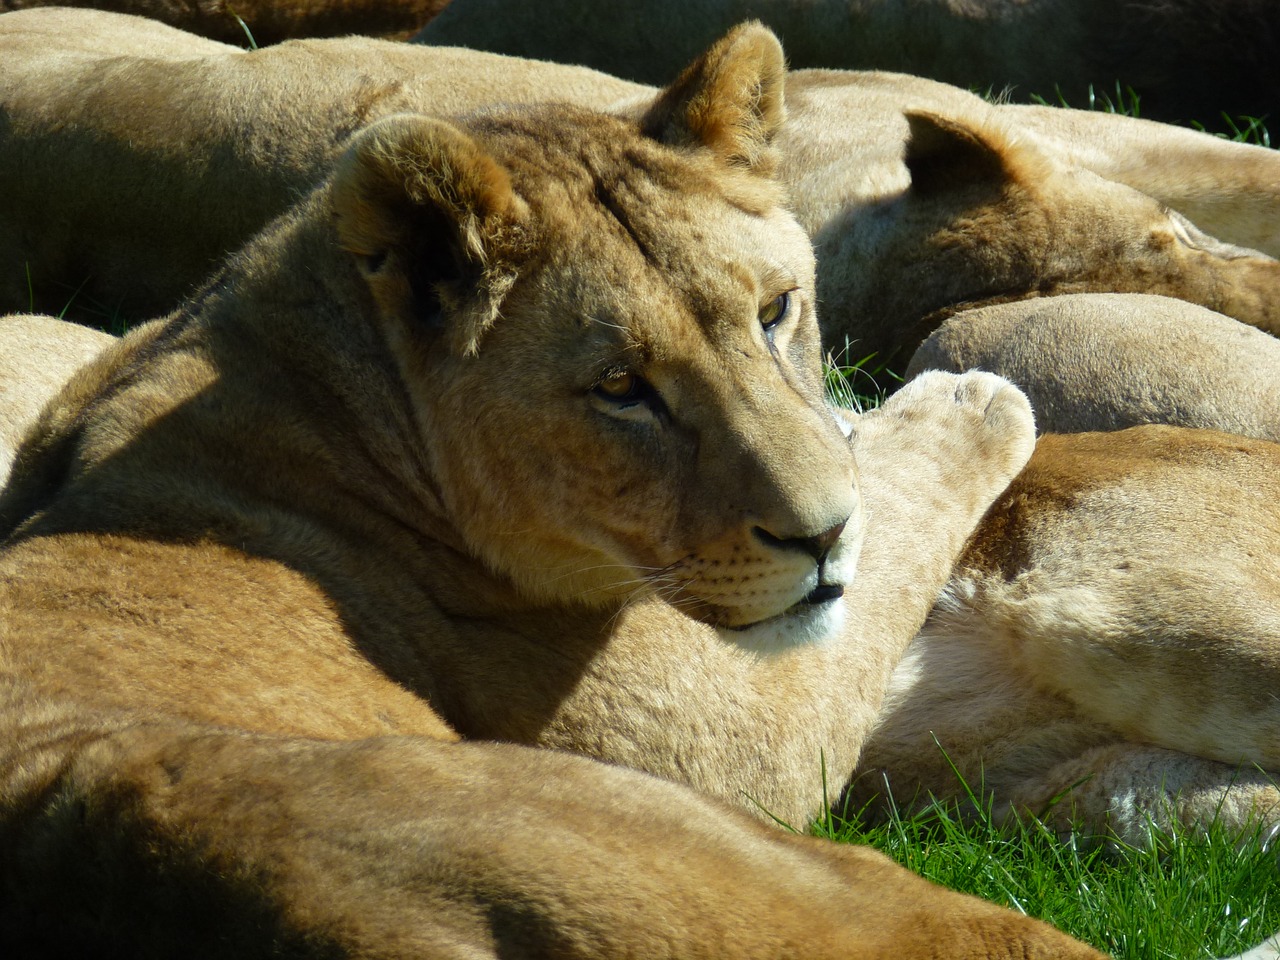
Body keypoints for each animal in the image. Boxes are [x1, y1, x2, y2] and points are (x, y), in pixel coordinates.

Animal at [0, 26, 1111, 957]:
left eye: (775, 312)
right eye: (620, 388)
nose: (824, 536)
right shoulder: (740, 741)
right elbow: (904, 524)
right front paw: (964, 397)